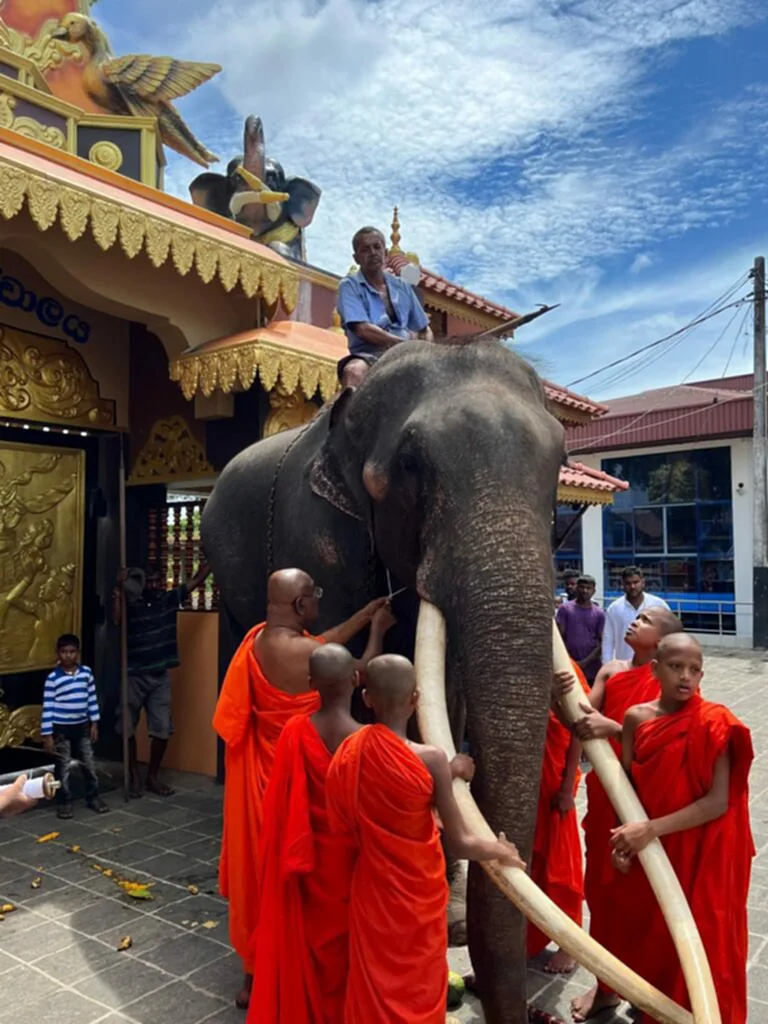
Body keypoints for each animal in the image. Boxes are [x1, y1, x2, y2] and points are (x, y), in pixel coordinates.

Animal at [201, 337, 569, 1024]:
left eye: (561, 462)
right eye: (410, 464)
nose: (534, 1012)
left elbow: (444, 693)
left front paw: (447, 917)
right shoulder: (317, 535)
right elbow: (345, 674)